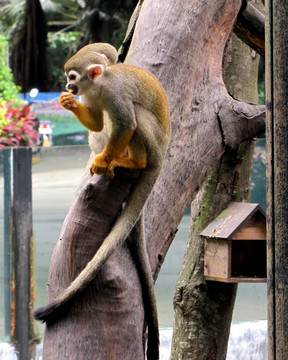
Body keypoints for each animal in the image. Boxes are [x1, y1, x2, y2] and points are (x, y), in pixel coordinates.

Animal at [32, 43, 170, 360]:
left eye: (72, 76)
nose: (68, 86)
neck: (99, 85)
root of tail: (162, 154)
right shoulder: (92, 95)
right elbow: (97, 122)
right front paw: (69, 103)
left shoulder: (114, 94)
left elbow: (126, 124)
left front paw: (103, 160)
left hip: (155, 143)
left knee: (135, 116)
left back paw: (132, 161)